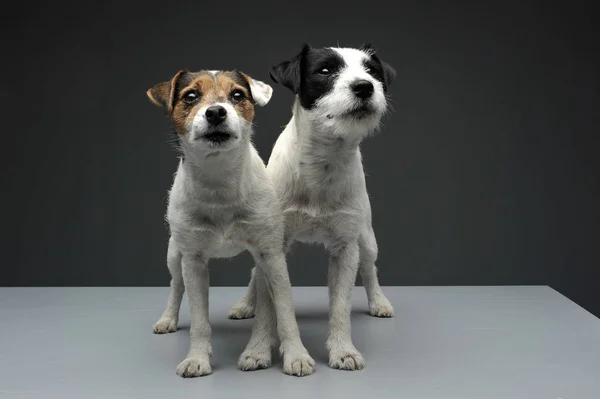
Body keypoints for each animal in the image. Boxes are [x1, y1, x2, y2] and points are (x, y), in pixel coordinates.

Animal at [146, 70, 314, 380]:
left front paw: (297, 356)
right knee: (176, 286)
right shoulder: (193, 262)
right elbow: (199, 320)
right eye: (190, 96)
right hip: (174, 254)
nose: (215, 112)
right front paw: (197, 359)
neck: (219, 182)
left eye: (237, 95)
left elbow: (286, 312)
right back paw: (167, 319)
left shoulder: (271, 255)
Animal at [227, 44, 396, 372]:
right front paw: (257, 350)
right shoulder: (272, 244)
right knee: (255, 273)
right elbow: (268, 306)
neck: (323, 163)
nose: (365, 86)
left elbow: (341, 305)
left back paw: (379, 301)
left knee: (370, 268)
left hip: (367, 237)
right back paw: (244, 303)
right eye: (325, 70)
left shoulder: (346, 247)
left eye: (372, 71)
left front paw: (343, 350)